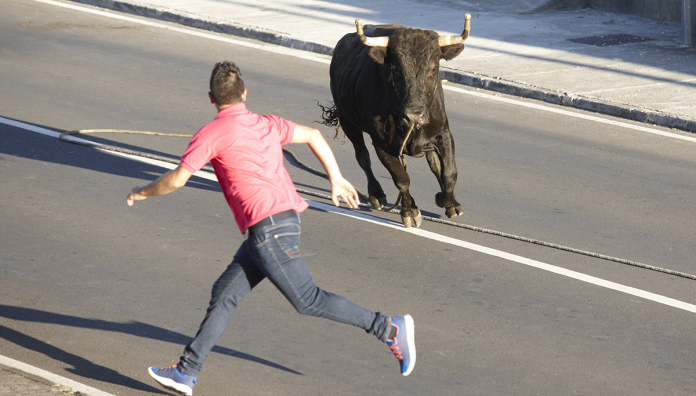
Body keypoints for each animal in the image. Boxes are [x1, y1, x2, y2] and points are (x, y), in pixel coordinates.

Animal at [320, 15, 474, 227]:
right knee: (363, 157)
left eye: (434, 67)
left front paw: (449, 202)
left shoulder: (444, 134)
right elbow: (401, 178)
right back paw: (376, 195)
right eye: (395, 68)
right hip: (349, 122)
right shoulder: (382, 144)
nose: (415, 115)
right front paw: (410, 211)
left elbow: (449, 173)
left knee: (434, 165)